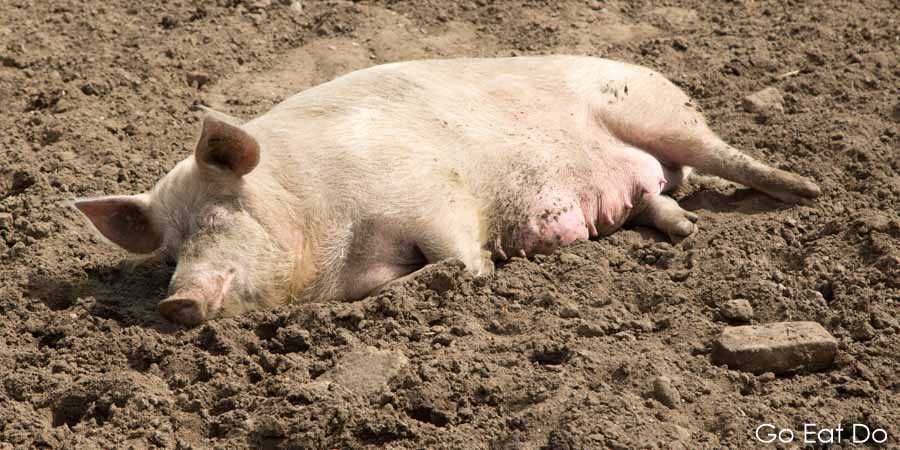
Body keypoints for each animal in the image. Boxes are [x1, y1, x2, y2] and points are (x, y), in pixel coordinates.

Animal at [74, 56, 820, 326]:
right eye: (169, 254)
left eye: (220, 216)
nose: (176, 303)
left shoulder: (435, 201)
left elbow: (457, 264)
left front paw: (481, 268)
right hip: (650, 169)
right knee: (657, 197)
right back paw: (685, 232)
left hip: (664, 116)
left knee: (723, 156)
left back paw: (806, 190)